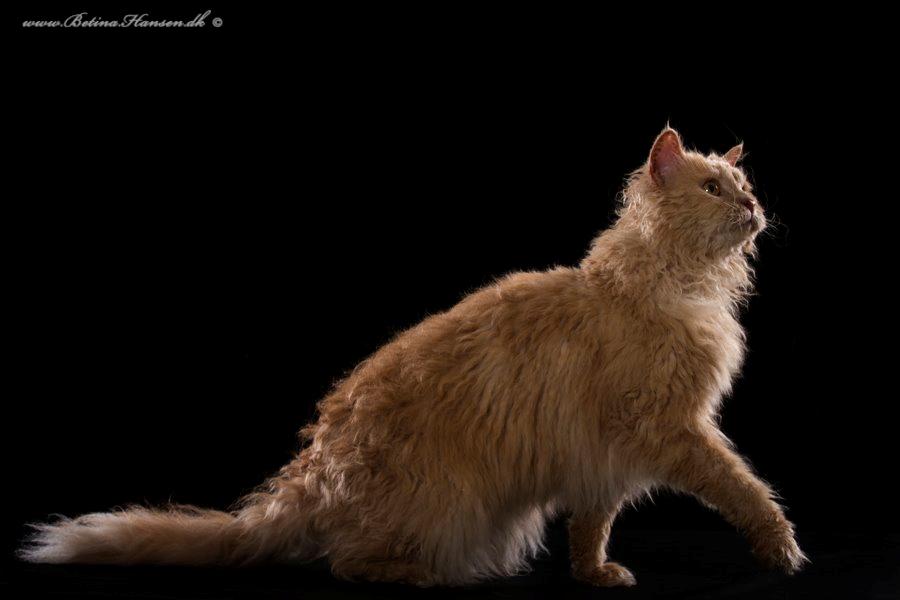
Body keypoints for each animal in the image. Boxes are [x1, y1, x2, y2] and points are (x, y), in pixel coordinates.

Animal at [19, 125, 808, 584]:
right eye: (714, 189)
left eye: (746, 188)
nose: (753, 210)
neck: (666, 284)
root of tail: (312, 476)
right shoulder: (663, 427)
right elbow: (742, 486)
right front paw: (781, 548)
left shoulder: (607, 450)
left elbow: (593, 522)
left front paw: (594, 572)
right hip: (444, 504)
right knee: (344, 563)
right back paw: (418, 574)